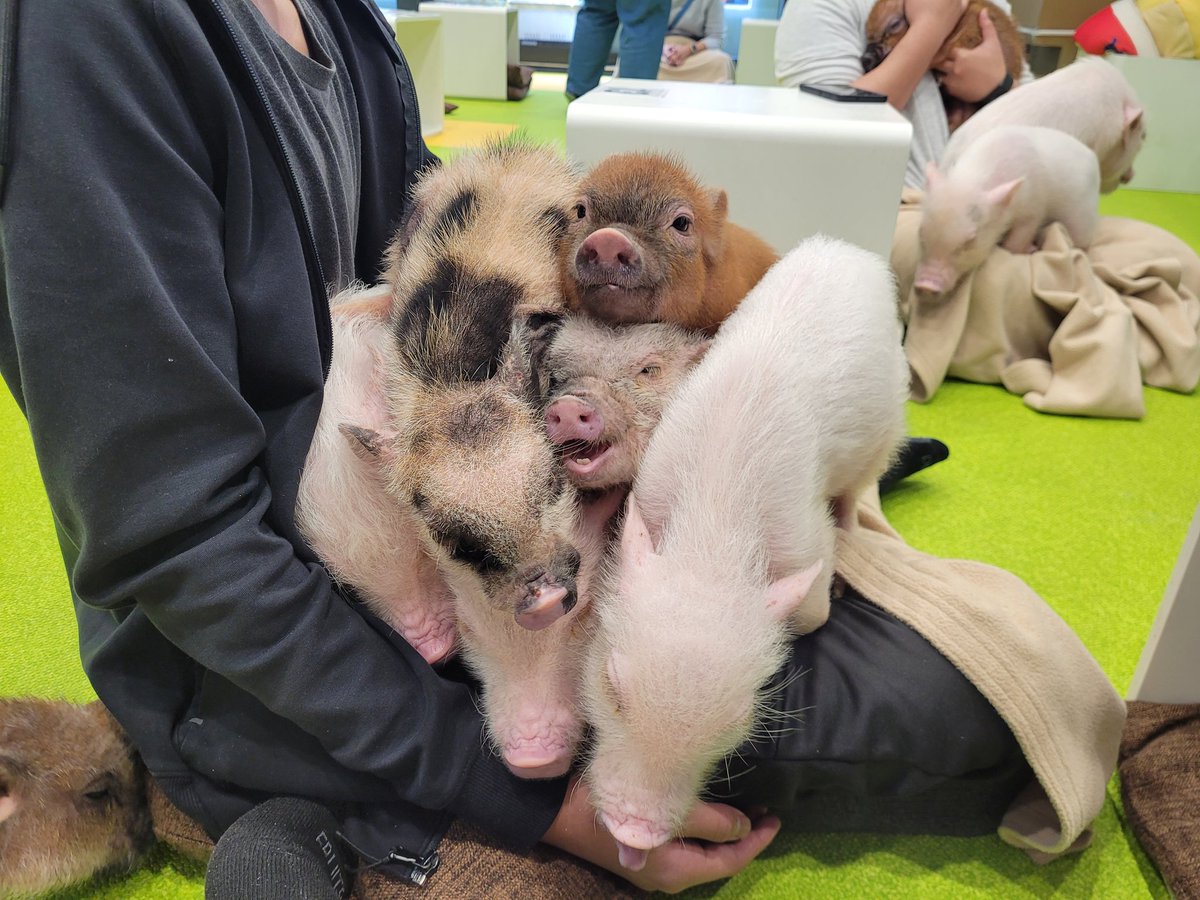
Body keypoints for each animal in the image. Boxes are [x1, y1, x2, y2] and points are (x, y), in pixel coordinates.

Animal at [580, 235, 908, 867]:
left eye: (732, 721)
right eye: (611, 686)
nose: (635, 835)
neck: (713, 538)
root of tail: (847, 249)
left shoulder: (805, 536)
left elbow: (815, 612)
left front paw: (832, 592)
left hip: (887, 426)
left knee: (861, 486)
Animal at [915, 124, 1101, 295]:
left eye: (971, 240)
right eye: (921, 231)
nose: (926, 285)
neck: (969, 181)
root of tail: (1091, 155)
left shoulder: (1033, 209)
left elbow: (1015, 243)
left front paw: (1030, 249)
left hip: (1082, 218)